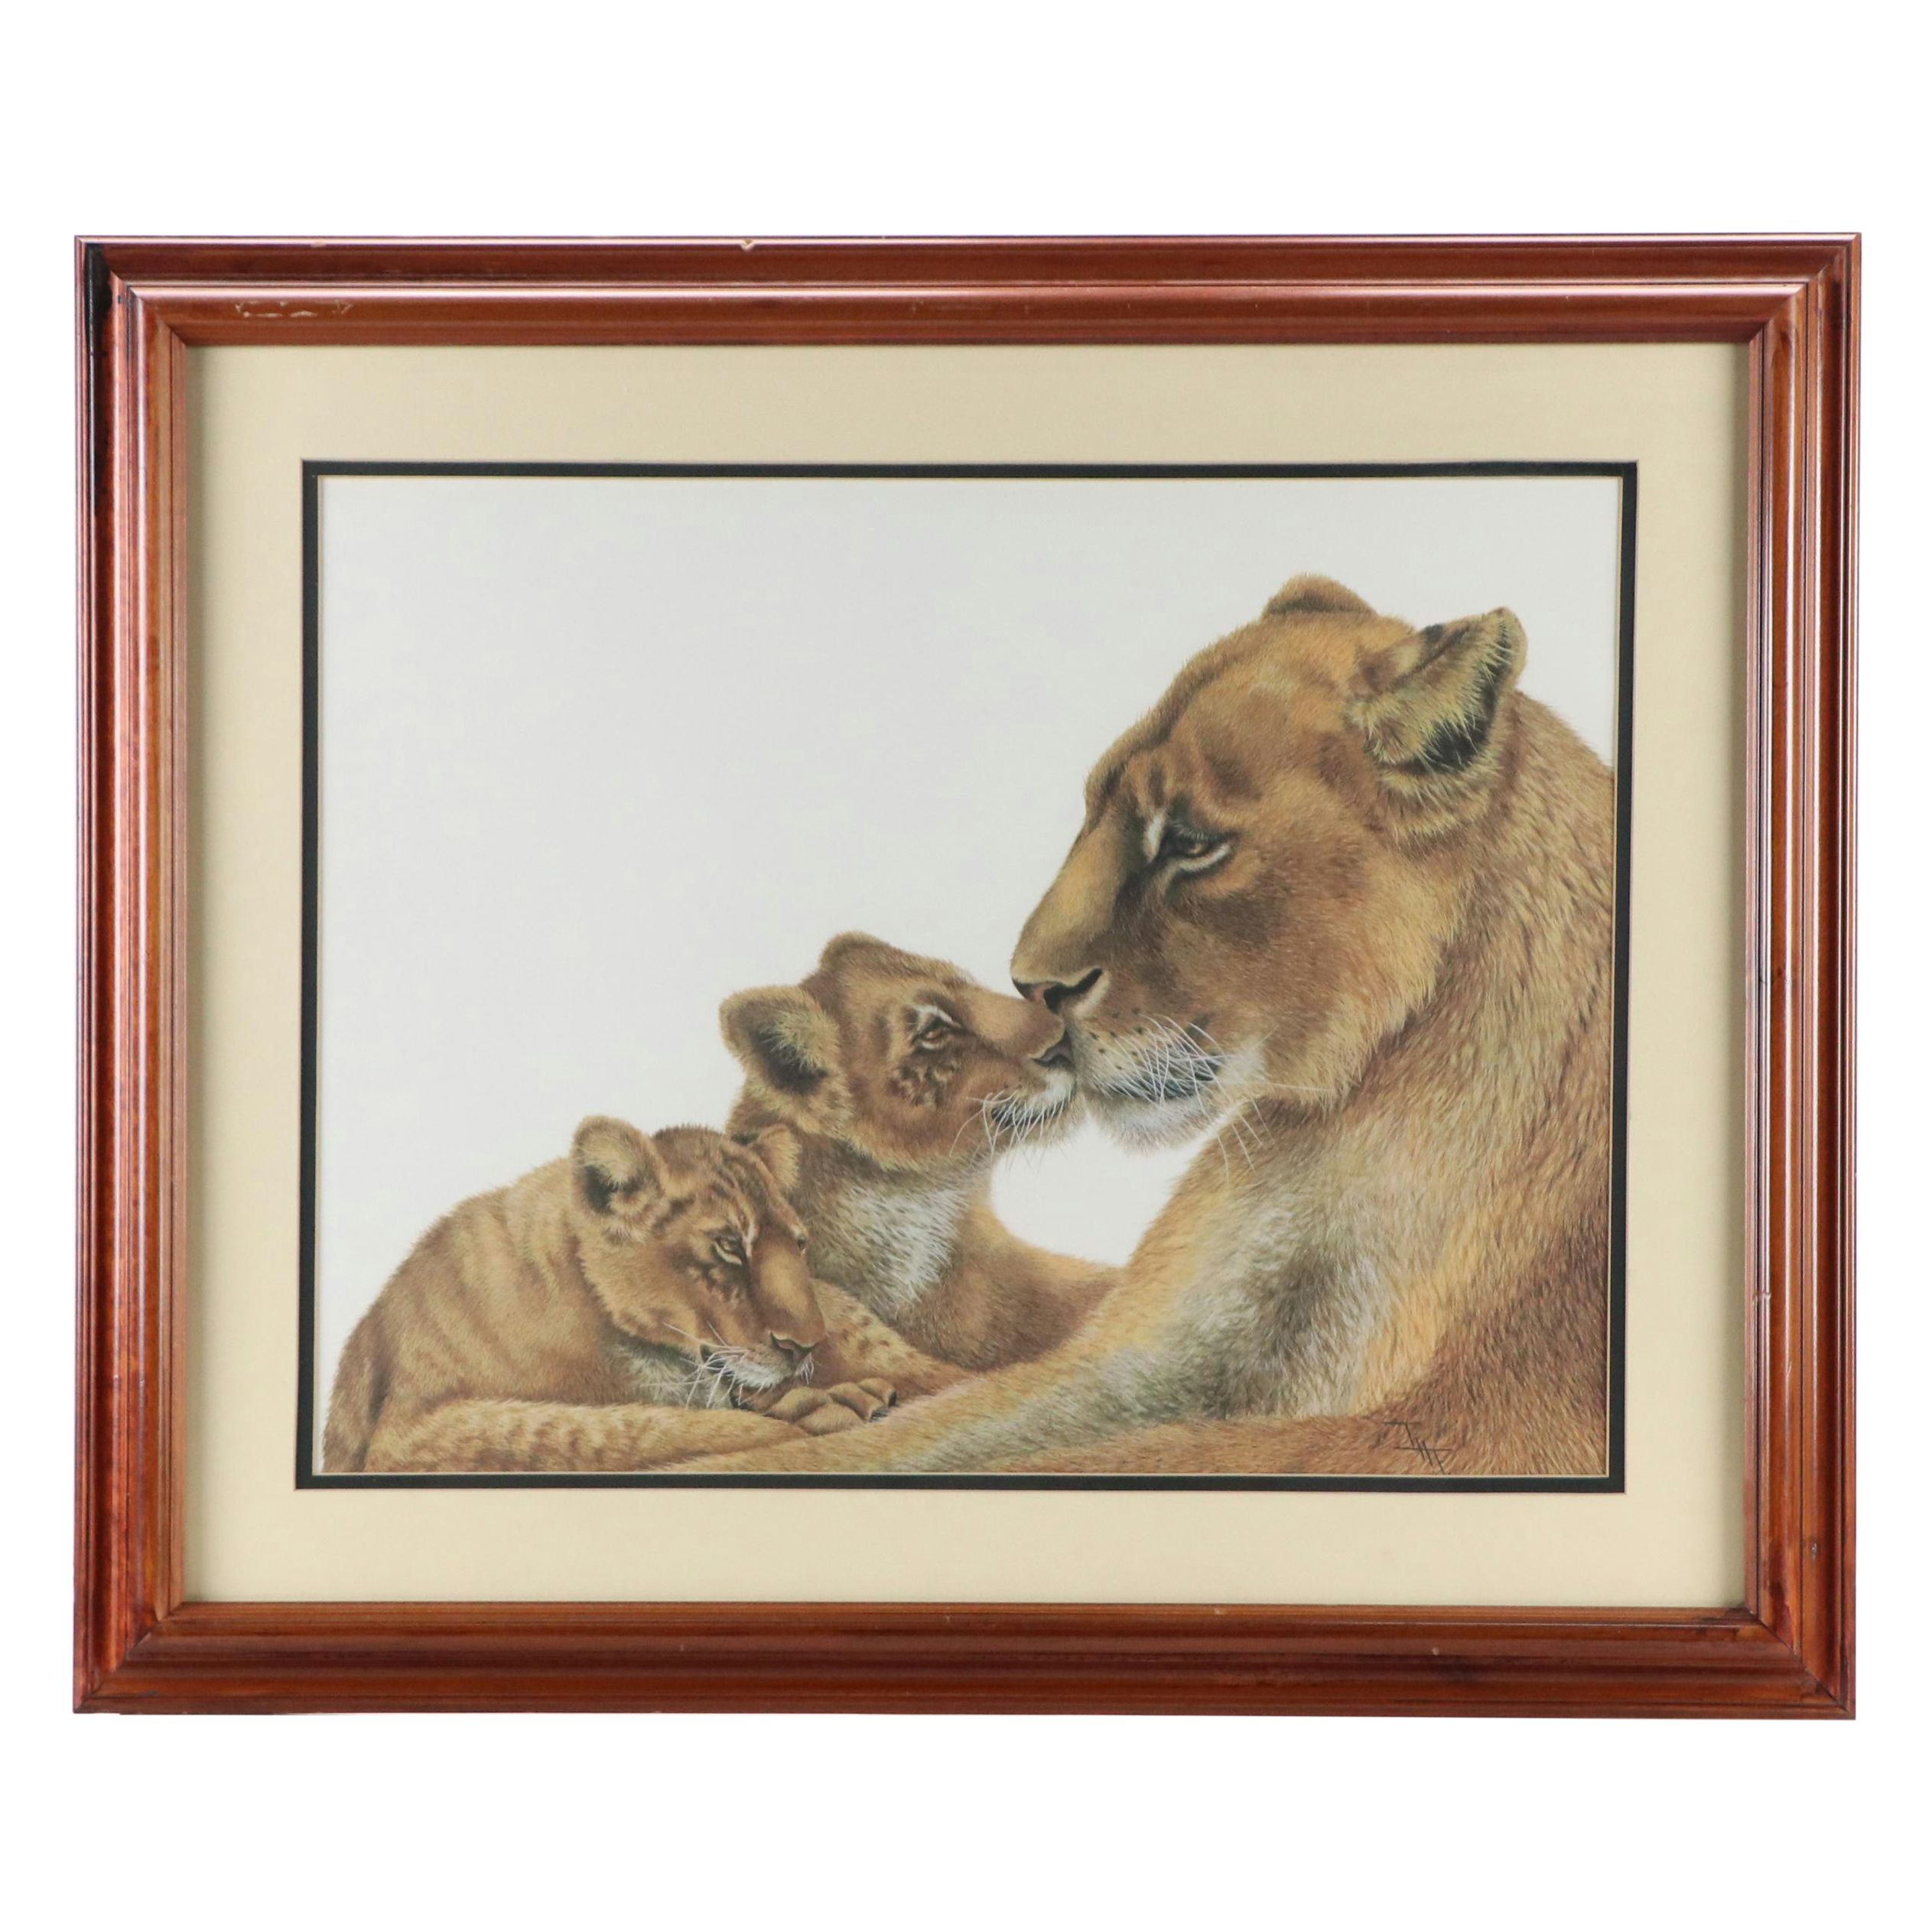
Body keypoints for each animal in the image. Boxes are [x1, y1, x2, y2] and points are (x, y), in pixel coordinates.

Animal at [321, 1115, 960, 1474]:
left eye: (799, 1244)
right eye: (729, 1246)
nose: (806, 1346)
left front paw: (821, 1400)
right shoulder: (410, 1432)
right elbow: (610, 1430)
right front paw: (811, 1413)